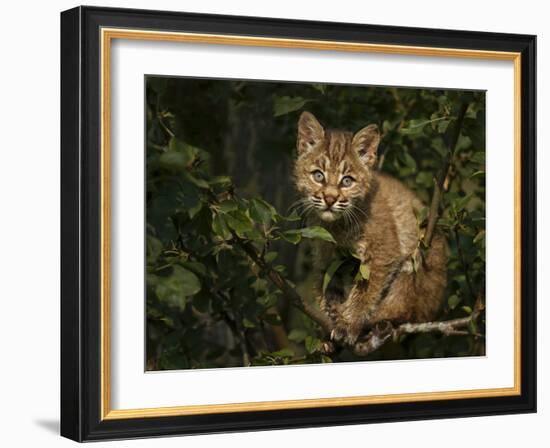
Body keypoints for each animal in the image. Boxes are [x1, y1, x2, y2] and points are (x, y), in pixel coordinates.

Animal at [298, 110, 448, 344]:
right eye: (318, 176)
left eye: (347, 181)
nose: (330, 199)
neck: (337, 224)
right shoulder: (326, 255)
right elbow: (328, 289)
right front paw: (333, 321)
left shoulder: (384, 252)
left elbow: (365, 291)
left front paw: (349, 323)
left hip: (421, 249)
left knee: (409, 309)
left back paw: (380, 321)